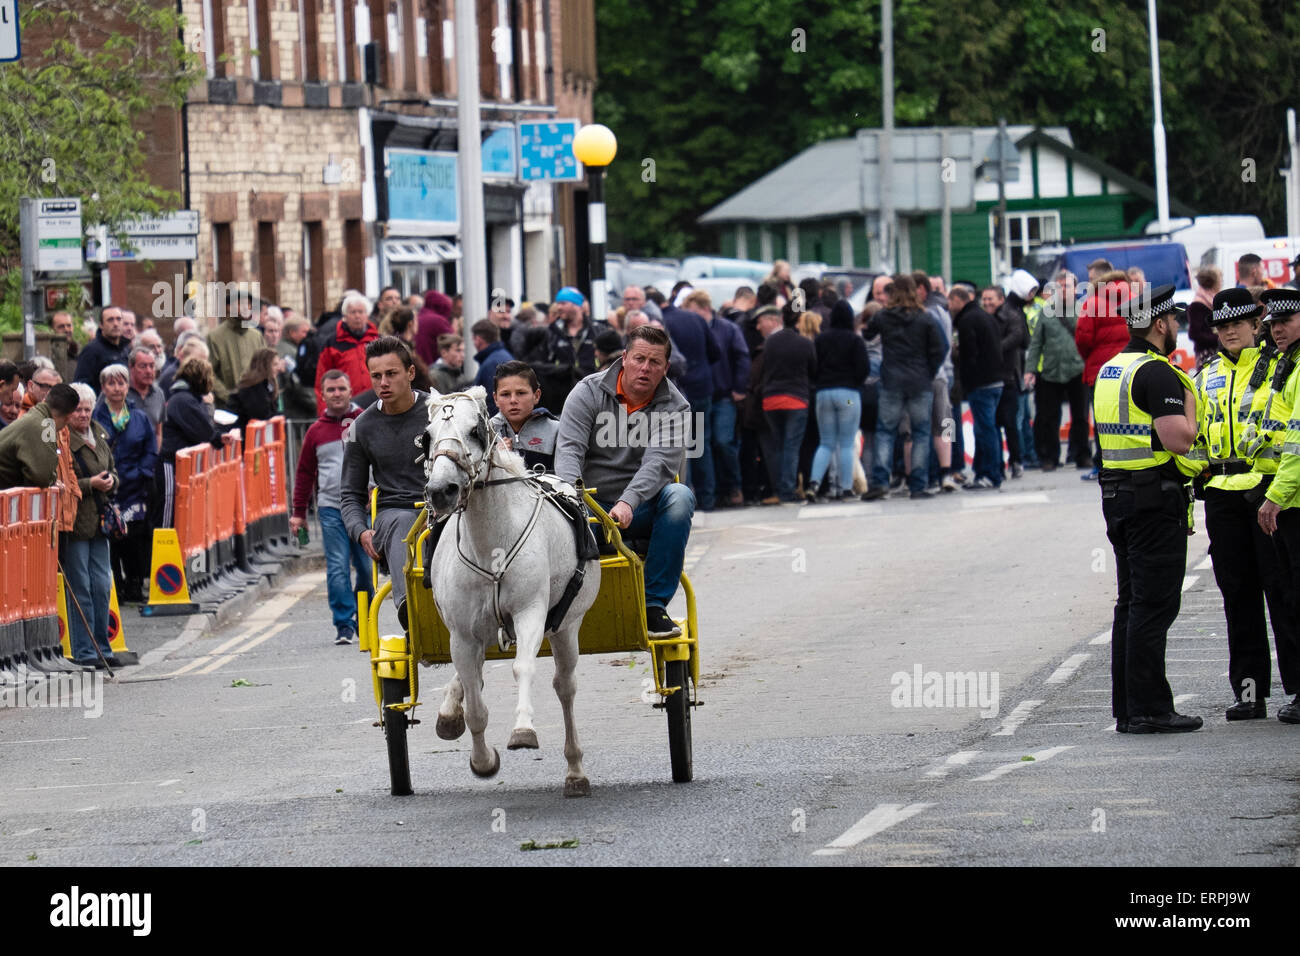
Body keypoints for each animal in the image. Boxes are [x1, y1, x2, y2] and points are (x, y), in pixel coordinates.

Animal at [421, 385, 598, 796]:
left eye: (474, 431)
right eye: (427, 436)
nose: (441, 491)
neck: (491, 547)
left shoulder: (530, 613)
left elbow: (523, 667)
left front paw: (523, 730)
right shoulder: (462, 634)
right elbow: (474, 702)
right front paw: (482, 760)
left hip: (567, 627)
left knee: (565, 687)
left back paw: (575, 770)